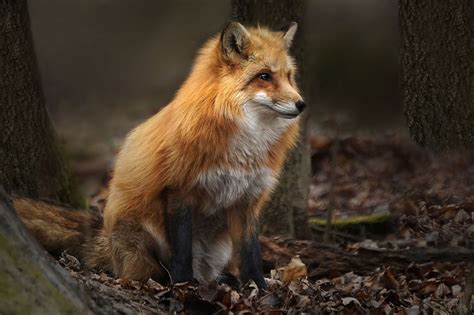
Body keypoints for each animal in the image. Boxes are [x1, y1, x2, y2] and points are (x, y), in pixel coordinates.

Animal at [14, 21, 306, 290]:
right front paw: (183, 287)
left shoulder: (247, 199)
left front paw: (259, 288)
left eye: (289, 76)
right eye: (264, 76)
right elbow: (182, 250)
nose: (301, 104)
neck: (245, 144)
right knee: (147, 272)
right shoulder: (179, 189)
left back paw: (221, 281)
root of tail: (106, 236)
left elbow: (250, 254)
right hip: (142, 235)